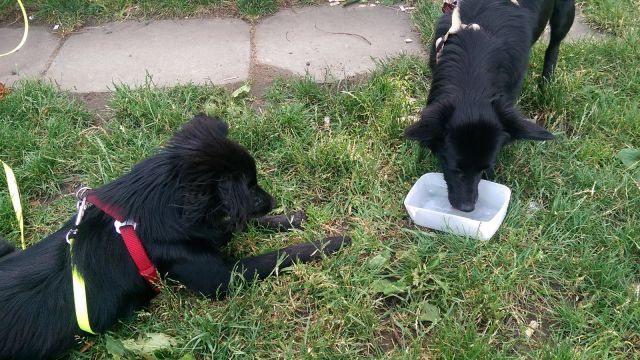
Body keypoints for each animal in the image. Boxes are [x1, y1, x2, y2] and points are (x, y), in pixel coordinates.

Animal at [0, 116, 350, 360]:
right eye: (250, 187)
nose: (274, 201)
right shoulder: (221, 278)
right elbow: (277, 255)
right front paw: (329, 243)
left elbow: (240, 225)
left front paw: (290, 219)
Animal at [404, 0, 576, 212]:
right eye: (455, 169)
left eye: (485, 168)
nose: (467, 208)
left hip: (564, 14)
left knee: (554, 46)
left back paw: (547, 84)